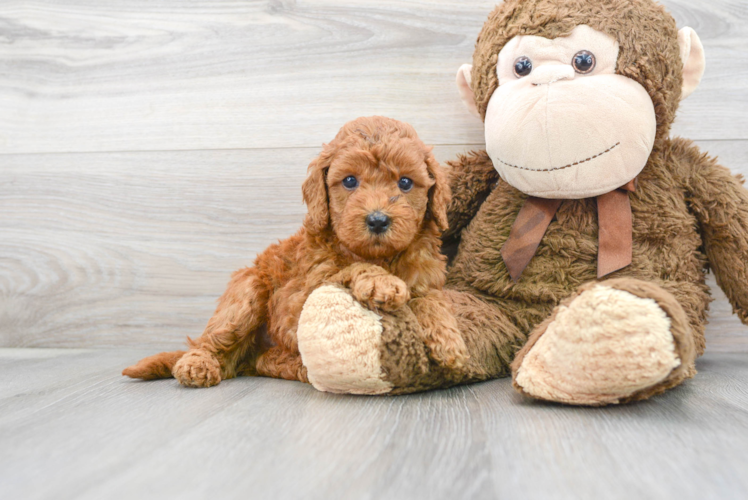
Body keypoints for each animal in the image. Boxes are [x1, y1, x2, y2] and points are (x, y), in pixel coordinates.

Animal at [123, 116, 464, 386]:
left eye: (405, 183)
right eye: (349, 181)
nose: (377, 220)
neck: (379, 255)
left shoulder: (426, 279)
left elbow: (431, 300)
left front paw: (450, 341)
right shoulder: (307, 289)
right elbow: (349, 268)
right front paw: (381, 282)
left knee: (261, 361)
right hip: (246, 294)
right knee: (214, 340)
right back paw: (198, 364)